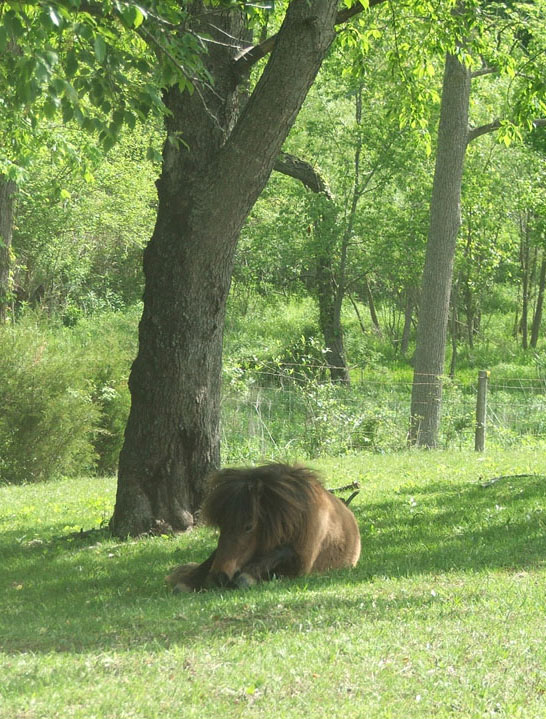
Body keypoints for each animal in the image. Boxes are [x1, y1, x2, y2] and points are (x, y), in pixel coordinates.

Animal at [166, 463, 361, 592]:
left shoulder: (300, 563)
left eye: (249, 526)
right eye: (222, 526)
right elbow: (209, 560)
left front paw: (247, 577)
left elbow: (280, 553)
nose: (219, 576)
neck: (294, 518)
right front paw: (188, 581)